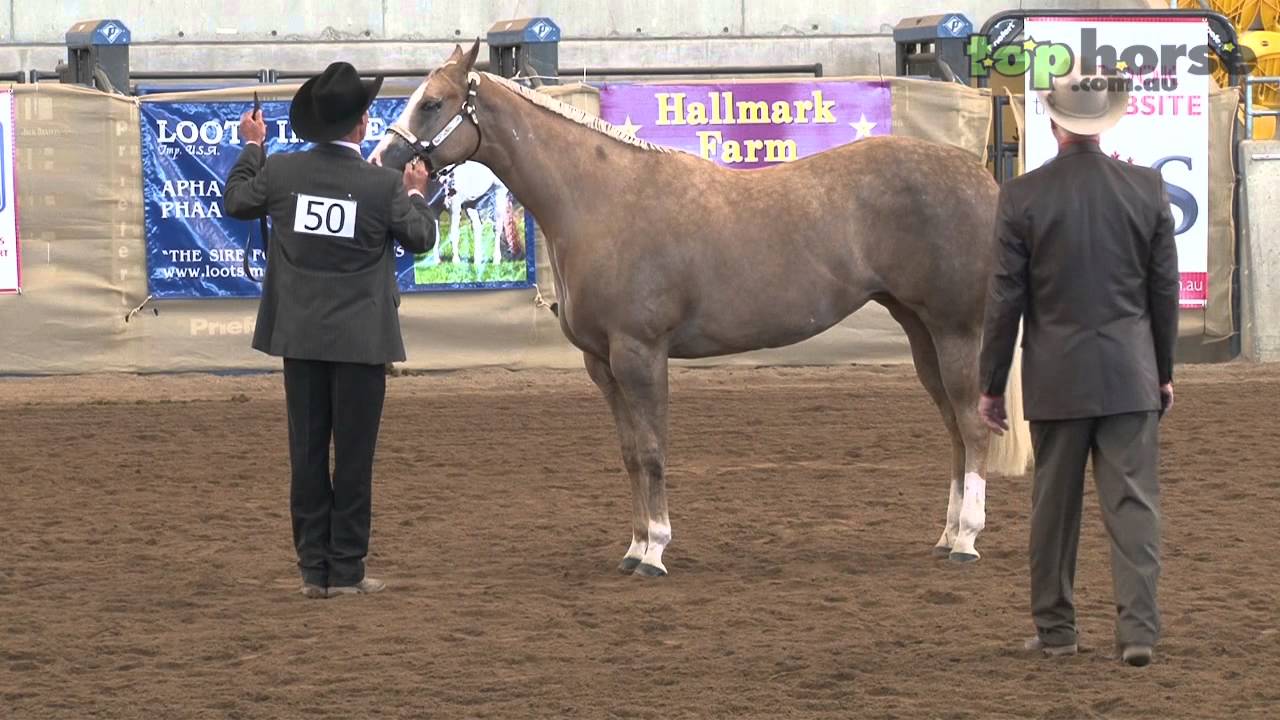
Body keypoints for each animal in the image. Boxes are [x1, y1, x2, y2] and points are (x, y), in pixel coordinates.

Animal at [370, 42, 1033, 577]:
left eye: (432, 103)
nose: (380, 164)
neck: (600, 201)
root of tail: (980, 177)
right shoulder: (603, 365)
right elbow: (631, 455)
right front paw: (634, 548)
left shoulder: (640, 354)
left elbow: (653, 450)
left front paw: (656, 551)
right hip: (919, 330)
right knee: (953, 428)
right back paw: (946, 535)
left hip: (956, 330)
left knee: (971, 425)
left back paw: (966, 542)